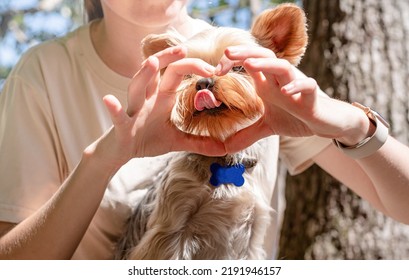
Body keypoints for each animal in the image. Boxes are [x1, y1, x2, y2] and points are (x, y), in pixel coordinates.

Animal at [114, 2, 306, 260]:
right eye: (187, 73)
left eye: (238, 66)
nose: (203, 82)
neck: (226, 159)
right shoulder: (169, 228)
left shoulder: (252, 233)